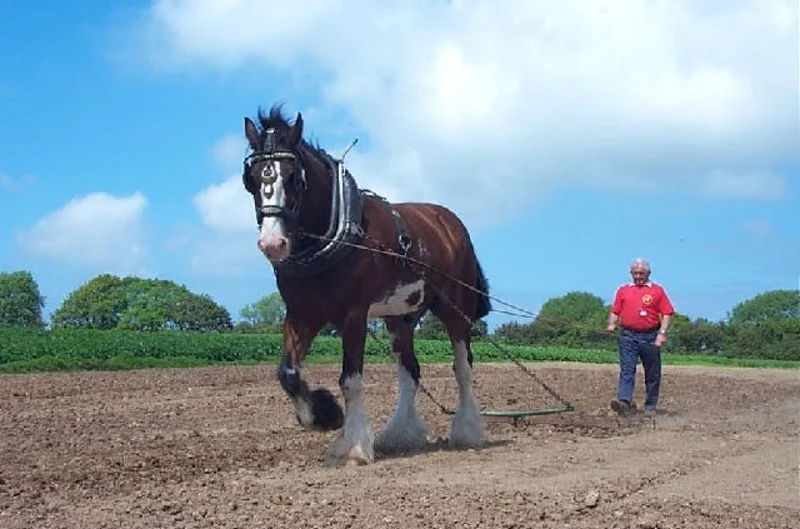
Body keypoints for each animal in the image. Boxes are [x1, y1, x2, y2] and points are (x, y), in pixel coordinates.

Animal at [241, 104, 492, 467]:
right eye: (251, 180)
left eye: (293, 177)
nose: (273, 244)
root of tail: (451, 223)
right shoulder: (302, 314)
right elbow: (287, 373)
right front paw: (324, 416)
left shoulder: (353, 315)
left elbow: (351, 381)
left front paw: (353, 447)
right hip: (401, 318)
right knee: (410, 372)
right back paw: (400, 433)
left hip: (455, 309)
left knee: (463, 368)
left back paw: (467, 431)